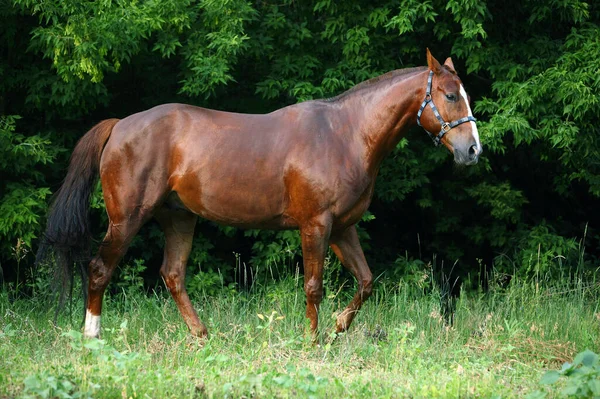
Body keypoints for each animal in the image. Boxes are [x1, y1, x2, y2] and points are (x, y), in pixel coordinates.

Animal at [37, 48, 480, 340]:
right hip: (127, 218)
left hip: (179, 217)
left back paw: (202, 336)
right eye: (450, 95)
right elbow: (314, 286)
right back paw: (93, 338)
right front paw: (311, 341)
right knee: (99, 269)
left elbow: (367, 281)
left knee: (172, 275)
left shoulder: (342, 229)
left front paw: (338, 327)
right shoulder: (316, 226)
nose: (473, 150)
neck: (345, 135)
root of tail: (120, 125)